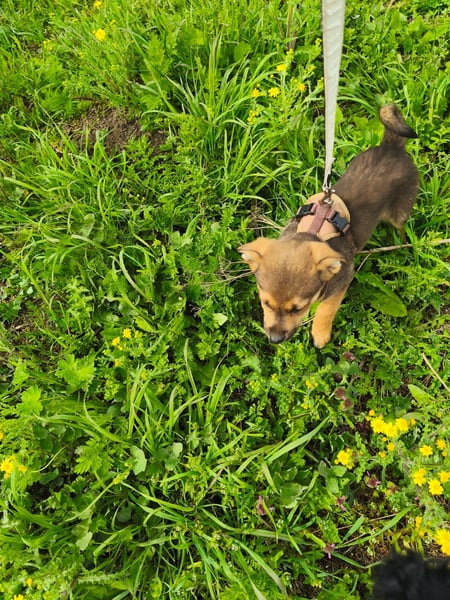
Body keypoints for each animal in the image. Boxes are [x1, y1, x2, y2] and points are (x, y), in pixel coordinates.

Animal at [239, 105, 419, 348]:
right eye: (266, 303)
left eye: (297, 309)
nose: (275, 340)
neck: (312, 231)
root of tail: (391, 146)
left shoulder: (343, 280)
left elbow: (327, 308)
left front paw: (320, 333)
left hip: (400, 211)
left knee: (401, 227)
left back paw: (401, 247)